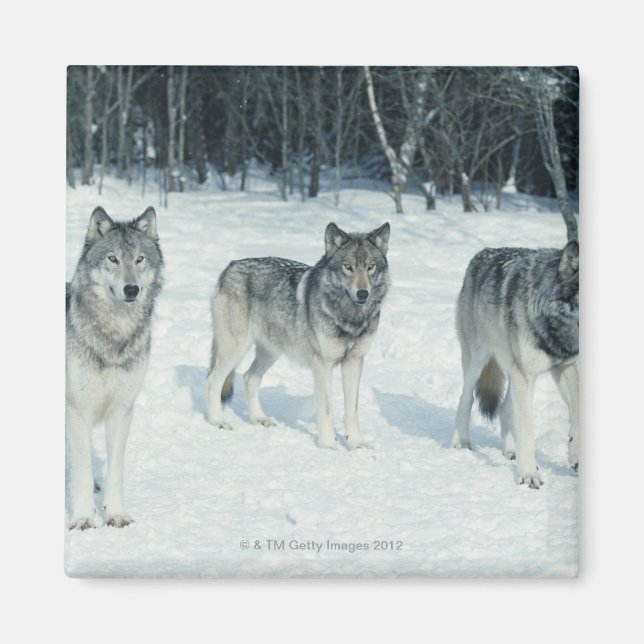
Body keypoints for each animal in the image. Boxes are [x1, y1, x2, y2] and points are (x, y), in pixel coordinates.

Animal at [66, 206, 163, 529]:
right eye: (113, 259)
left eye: (139, 259)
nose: (131, 289)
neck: (114, 337)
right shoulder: (78, 410)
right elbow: (82, 472)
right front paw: (84, 518)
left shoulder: (122, 410)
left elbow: (115, 470)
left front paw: (115, 514)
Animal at [205, 222, 390, 449]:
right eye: (348, 267)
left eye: (370, 267)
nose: (363, 293)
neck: (350, 318)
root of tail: (229, 267)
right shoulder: (322, 365)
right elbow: (326, 408)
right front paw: (328, 446)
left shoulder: (354, 362)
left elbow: (352, 409)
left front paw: (356, 444)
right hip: (236, 349)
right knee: (213, 380)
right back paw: (217, 421)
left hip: (270, 352)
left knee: (249, 378)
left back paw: (259, 418)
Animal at [452, 240, 579, 488]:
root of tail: (483, 252)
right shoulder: (526, 374)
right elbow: (528, 429)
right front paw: (529, 474)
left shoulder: (565, 367)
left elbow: (577, 411)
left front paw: (576, 457)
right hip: (478, 362)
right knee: (466, 398)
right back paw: (460, 442)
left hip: (515, 371)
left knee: (505, 408)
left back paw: (511, 449)